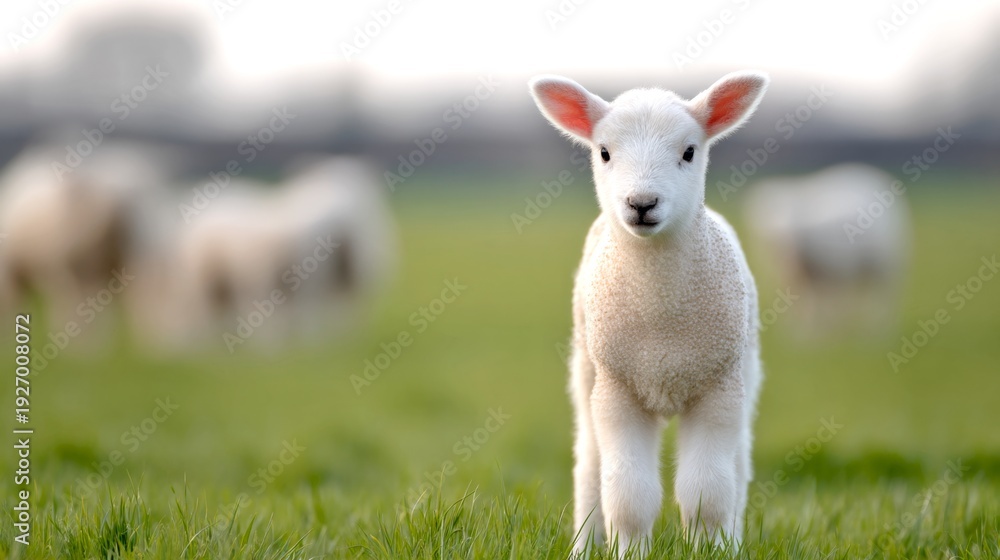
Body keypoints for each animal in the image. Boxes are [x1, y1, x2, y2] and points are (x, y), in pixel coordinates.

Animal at [529, 71, 768, 555]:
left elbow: (707, 493)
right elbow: (628, 496)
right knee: (589, 465)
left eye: (689, 151)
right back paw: (583, 547)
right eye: (604, 152)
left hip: (745, 372)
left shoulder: (718, 387)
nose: (642, 203)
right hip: (587, 370)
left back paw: (733, 541)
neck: (660, 317)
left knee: (739, 467)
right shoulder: (618, 390)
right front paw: (628, 552)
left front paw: (711, 550)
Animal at [743, 163, 910, 336]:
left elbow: (822, 303)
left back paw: (879, 327)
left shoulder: (827, 270)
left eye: (793, 213)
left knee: (885, 297)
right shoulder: (801, 277)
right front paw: (802, 332)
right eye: (766, 216)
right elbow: (803, 305)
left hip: (886, 263)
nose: (784, 241)